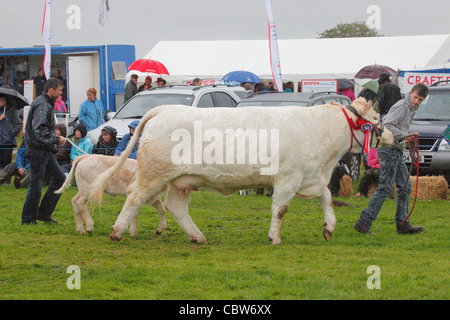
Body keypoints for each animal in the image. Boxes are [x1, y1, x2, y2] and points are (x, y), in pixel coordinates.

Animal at [89, 97, 392, 245]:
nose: (393, 136)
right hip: (154, 174)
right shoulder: (288, 178)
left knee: (175, 207)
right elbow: (280, 210)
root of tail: (163, 109)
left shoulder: (313, 177)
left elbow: (327, 199)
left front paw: (329, 227)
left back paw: (197, 237)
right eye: (376, 118)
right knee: (135, 197)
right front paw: (275, 238)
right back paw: (117, 231)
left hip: (180, 181)